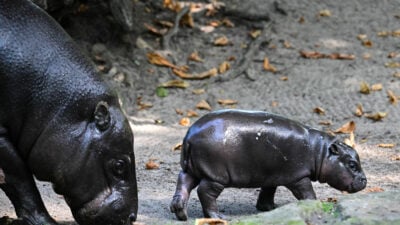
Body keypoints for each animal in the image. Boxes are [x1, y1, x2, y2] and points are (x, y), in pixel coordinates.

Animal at [170, 109, 368, 220]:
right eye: (352, 164)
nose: (365, 181)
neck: (320, 151)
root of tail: (189, 135)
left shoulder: (272, 175)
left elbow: (268, 191)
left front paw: (269, 209)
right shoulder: (298, 177)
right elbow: (306, 192)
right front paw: (313, 204)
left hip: (192, 169)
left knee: (183, 183)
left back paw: (181, 214)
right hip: (216, 175)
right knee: (205, 192)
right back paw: (218, 217)